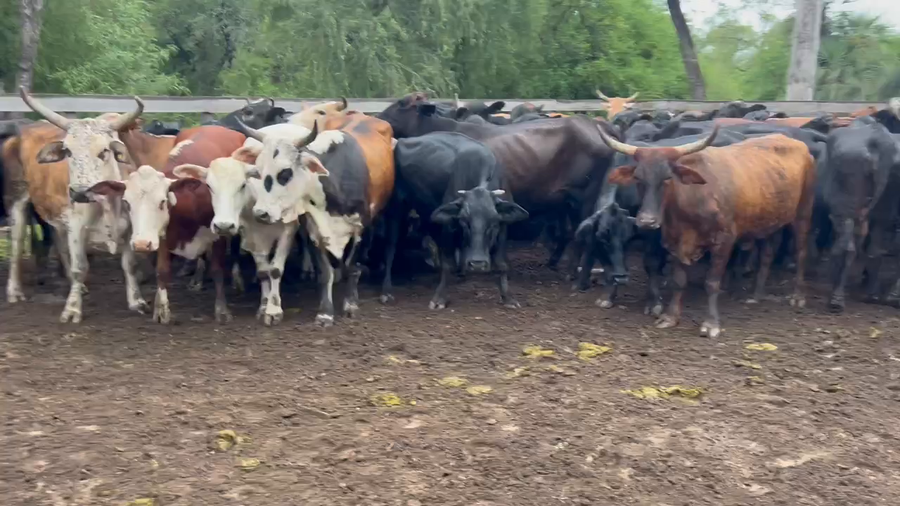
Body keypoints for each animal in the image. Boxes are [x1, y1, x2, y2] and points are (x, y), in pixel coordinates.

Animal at [3, 88, 144, 322]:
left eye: (104, 151)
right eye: (68, 151)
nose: (79, 192)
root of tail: (18, 136)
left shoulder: (130, 226)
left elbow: (130, 264)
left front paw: (136, 301)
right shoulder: (77, 225)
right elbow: (81, 266)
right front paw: (72, 309)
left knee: (57, 241)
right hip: (17, 199)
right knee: (16, 242)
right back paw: (14, 291)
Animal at [85, 126, 247, 324]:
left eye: (162, 202)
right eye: (127, 203)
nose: (141, 244)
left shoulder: (219, 232)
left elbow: (217, 270)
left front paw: (222, 310)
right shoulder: (162, 236)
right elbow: (162, 270)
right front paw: (161, 310)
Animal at [245, 111, 395, 327]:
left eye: (285, 173)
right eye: (258, 170)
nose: (260, 213)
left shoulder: (360, 229)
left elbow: (352, 266)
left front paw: (350, 304)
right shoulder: (314, 230)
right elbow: (326, 273)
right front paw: (325, 312)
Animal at [389, 132, 529, 308]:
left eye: (493, 222)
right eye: (463, 221)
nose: (477, 264)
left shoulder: (503, 227)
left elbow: (501, 263)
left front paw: (508, 297)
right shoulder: (449, 227)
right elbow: (447, 264)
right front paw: (440, 298)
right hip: (397, 205)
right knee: (390, 246)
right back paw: (386, 290)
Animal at [597, 127, 816, 338]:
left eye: (668, 178)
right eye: (638, 178)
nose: (647, 221)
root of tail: (797, 144)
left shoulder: (723, 242)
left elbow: (711, 283)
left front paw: (711, 324)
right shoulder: (675, 242)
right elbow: (678, 281)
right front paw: (670, 317)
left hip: (803, 214)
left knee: (801, 252)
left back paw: (798, 296)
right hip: (769, 221)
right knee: (767, 256)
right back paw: (756, 296)